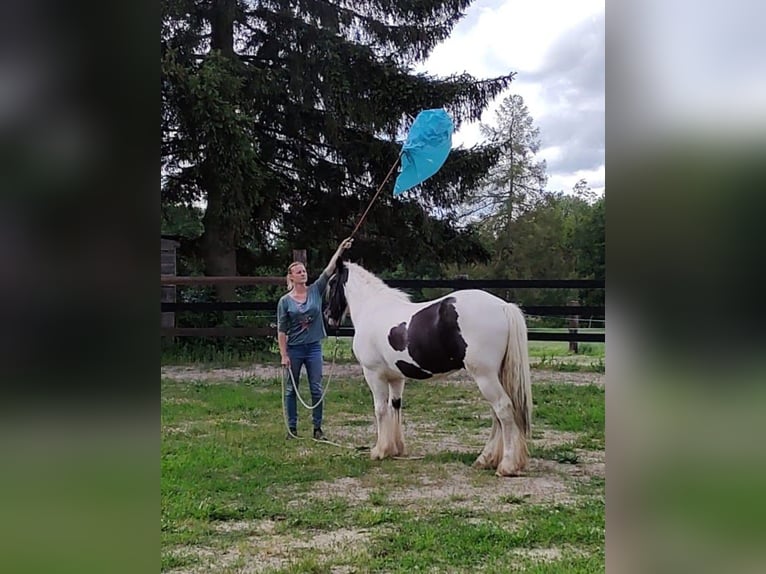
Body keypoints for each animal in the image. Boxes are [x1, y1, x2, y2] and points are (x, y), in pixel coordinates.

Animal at [324, 260, 536, 476]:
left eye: (331, 283)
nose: (328, 316)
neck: (372, 309)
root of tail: (503, 306)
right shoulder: (396, 377)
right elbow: (395, 407)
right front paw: (395, 449)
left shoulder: (373, 374)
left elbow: (380, 410)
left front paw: (380, 451)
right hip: (495, 376)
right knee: (497, 415)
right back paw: (486, 459)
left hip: (485, 376)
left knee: (503, 409)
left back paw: (506, 465)